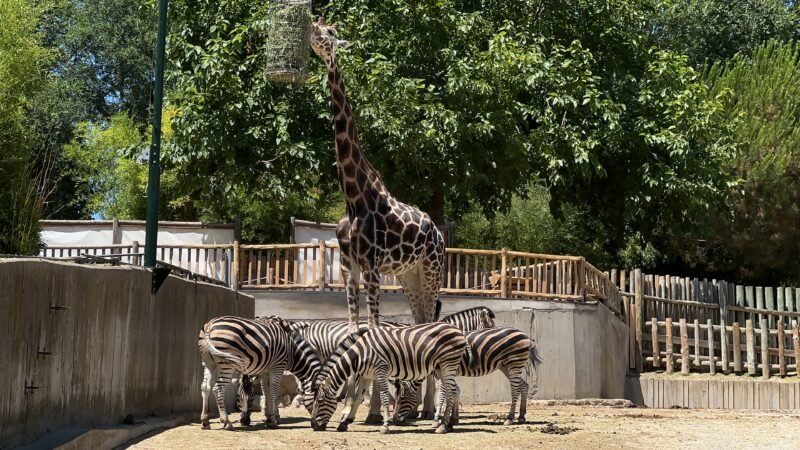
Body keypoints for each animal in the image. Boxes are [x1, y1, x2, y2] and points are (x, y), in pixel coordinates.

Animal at [308, 322, 468, 434]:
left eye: (320, 401)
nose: (313, 426)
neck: (361, 354)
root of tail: (457, 329)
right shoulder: (367, 375)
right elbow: (358, 398)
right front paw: (345, 422)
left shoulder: (380, 371)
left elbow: (384, 397)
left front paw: (385, 426)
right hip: (440, 367)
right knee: (452, 391)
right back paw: (448, 424)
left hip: (448, 364)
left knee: (452, 392)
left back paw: (443, 426)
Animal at [310, 16, 444, 418]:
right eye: (319, 25)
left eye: (332, 32)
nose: (313, 30)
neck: (354, 197)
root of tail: (440, 234)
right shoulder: (348, 266)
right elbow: (354, 329)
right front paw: (352, 407)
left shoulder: (370, 265)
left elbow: (373, 330)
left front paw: (366, 409)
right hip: (408, 276)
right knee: (420, 322)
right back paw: (420, 409)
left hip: (431, 269)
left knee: (430, 322)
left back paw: (428, 408)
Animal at [396, 326, 544, 426]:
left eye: (401, 398)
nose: (395, 420)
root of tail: (525, 335)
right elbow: (455, 391)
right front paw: (453, 418)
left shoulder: (440, 371)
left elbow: (442, 393)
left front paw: (437, 419)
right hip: (506, 366)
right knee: (524, 385)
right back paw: (521, 416)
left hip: (514, 363)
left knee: (515, 389)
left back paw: (509, 418)